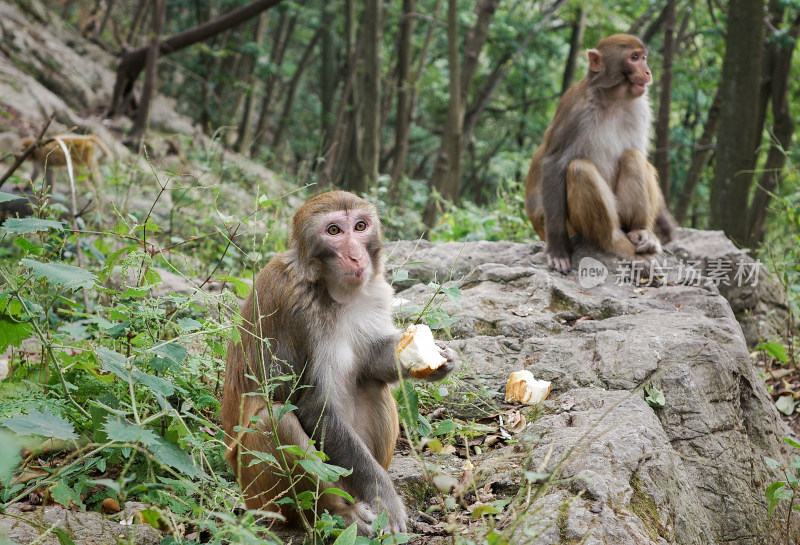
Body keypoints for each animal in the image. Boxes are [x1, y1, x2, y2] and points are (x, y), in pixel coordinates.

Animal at [222, 191, 456, 536]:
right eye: (334, 231)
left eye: (360, 226)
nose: (356, 257)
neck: (330, 290)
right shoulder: (296, 308)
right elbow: (314, 406)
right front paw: (384, 496)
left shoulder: (376, 292)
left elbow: (373, 359)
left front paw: (440, 357)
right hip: (261, 495)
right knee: (274, 419)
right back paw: (338, 514)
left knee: (373, 386)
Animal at [524, 33, 676, 272]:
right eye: (634, 58)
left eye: (643, 57)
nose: (648, 71)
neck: (612, 99)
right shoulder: (575, 111)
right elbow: (554, 164)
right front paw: (557, 248)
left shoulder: (641, 108)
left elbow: (641, 155)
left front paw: (657, 229)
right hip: (575, 226)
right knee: (578, 168)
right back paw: (614, 242)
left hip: (622, 214)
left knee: (633, 155)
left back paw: (639, 231)